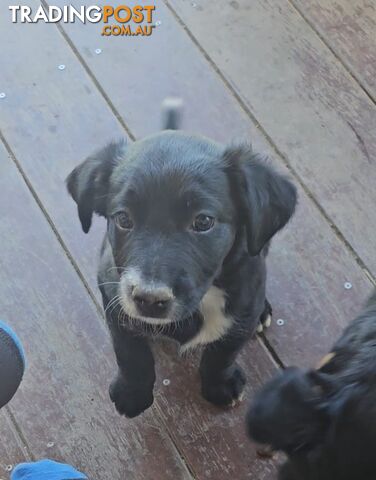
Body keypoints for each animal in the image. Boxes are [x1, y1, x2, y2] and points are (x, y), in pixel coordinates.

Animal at [67, 104, 296, 416]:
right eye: (123, 218)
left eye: (203, 222)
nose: (149, 300)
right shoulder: (113, 296)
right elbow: (129, 352)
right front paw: (132, 392)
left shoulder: (244, 305)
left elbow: (222, 353)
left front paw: (219, 385)